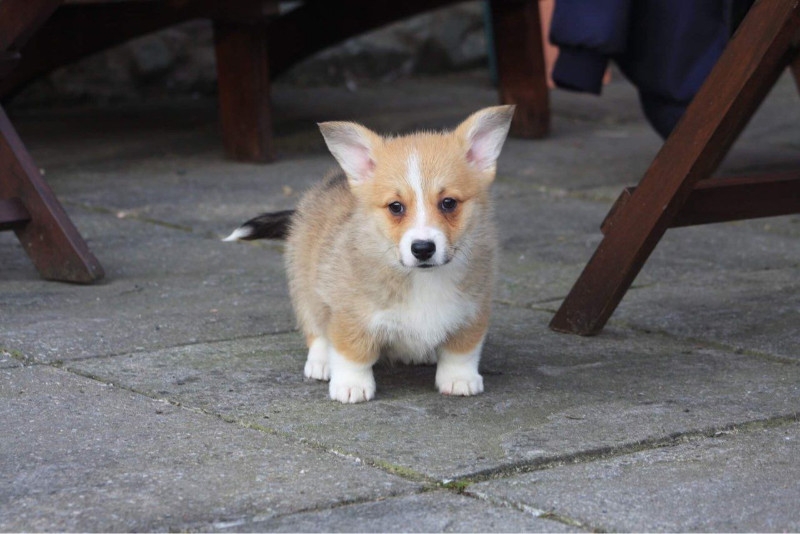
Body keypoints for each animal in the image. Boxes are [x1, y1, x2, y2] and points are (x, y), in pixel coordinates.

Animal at [225, 107, 512, 404]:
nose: (422, 248)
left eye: (449, 203)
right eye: (395, 207)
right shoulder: (351, 314)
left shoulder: (472, 311)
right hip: (305, 286)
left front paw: (459, 379)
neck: (421, 278)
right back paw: (321, 362)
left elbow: (462, 351)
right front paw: (351, 386)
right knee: (316, 329)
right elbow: (352, 352)